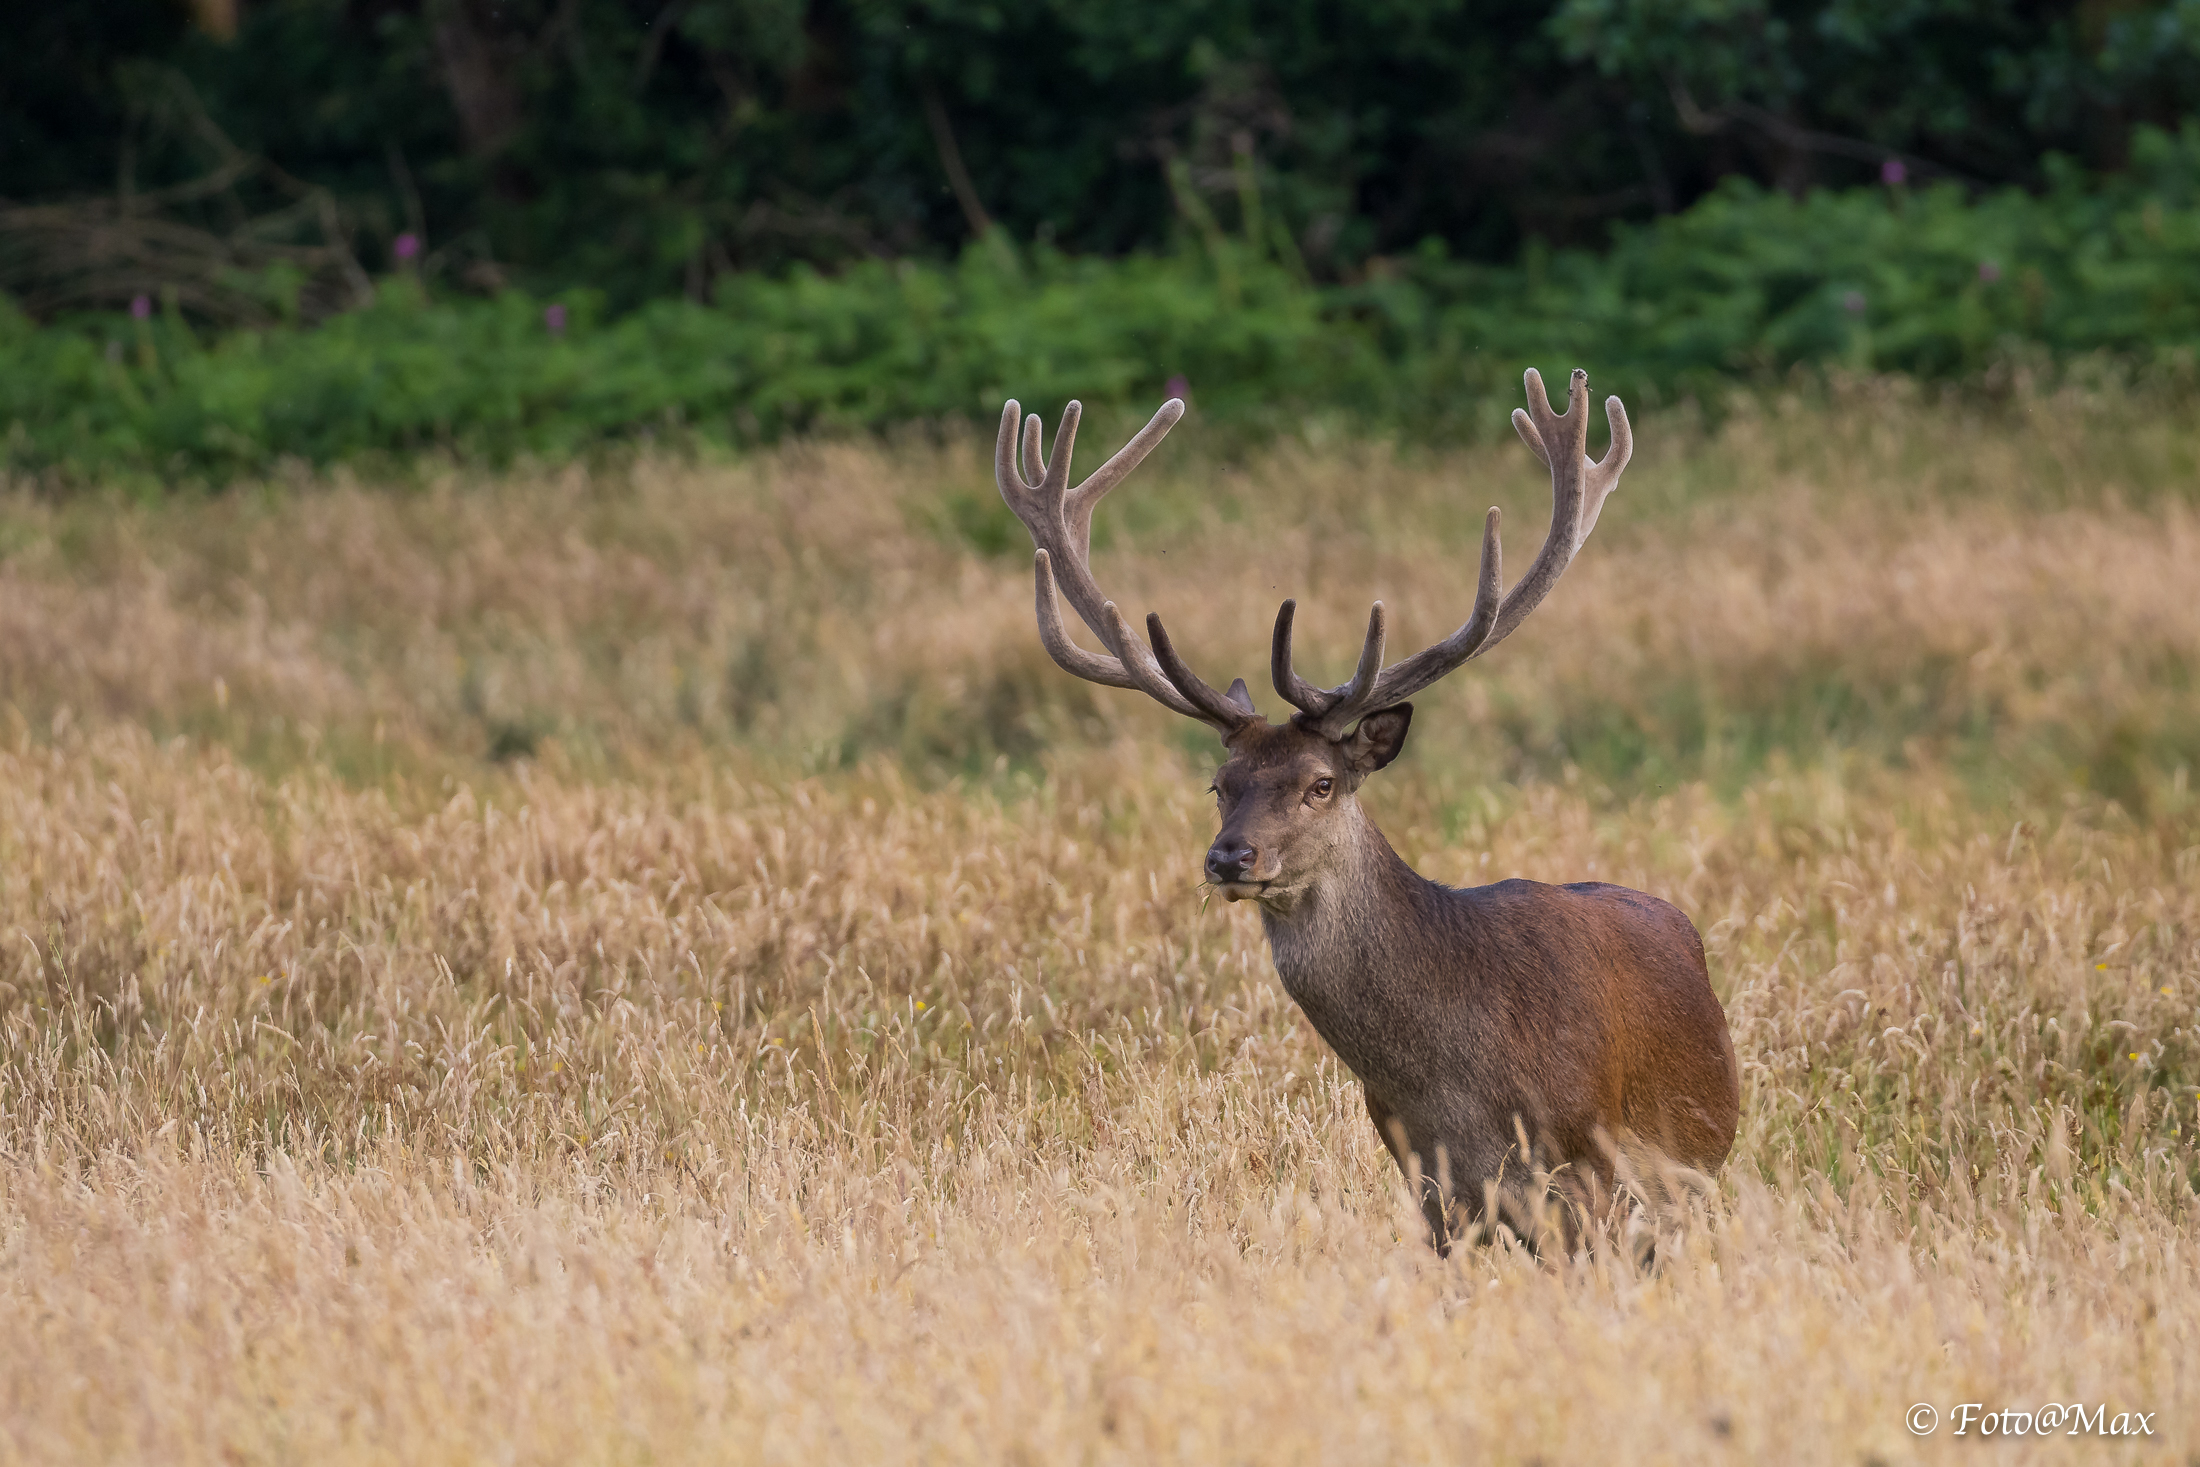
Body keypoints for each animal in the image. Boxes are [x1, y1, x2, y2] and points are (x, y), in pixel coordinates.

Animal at [995, 369, 1740, 1253]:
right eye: (1220, 782)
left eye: (1320, 782)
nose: (1230, 857)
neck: (1455, 1083)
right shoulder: (1428, 1180)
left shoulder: (1589, 1165)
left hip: (1682, 1178)